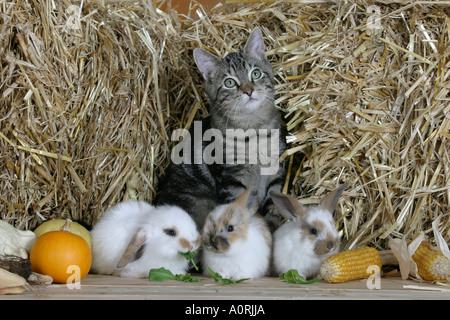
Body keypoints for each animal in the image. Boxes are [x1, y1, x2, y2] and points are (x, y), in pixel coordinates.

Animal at [155, 27, 286, 231]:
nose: (249, 91)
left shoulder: (276, 170)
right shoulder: (231, 179)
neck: (253, 126)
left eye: (255, 74)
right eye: (229, 83)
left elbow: (274, 204)